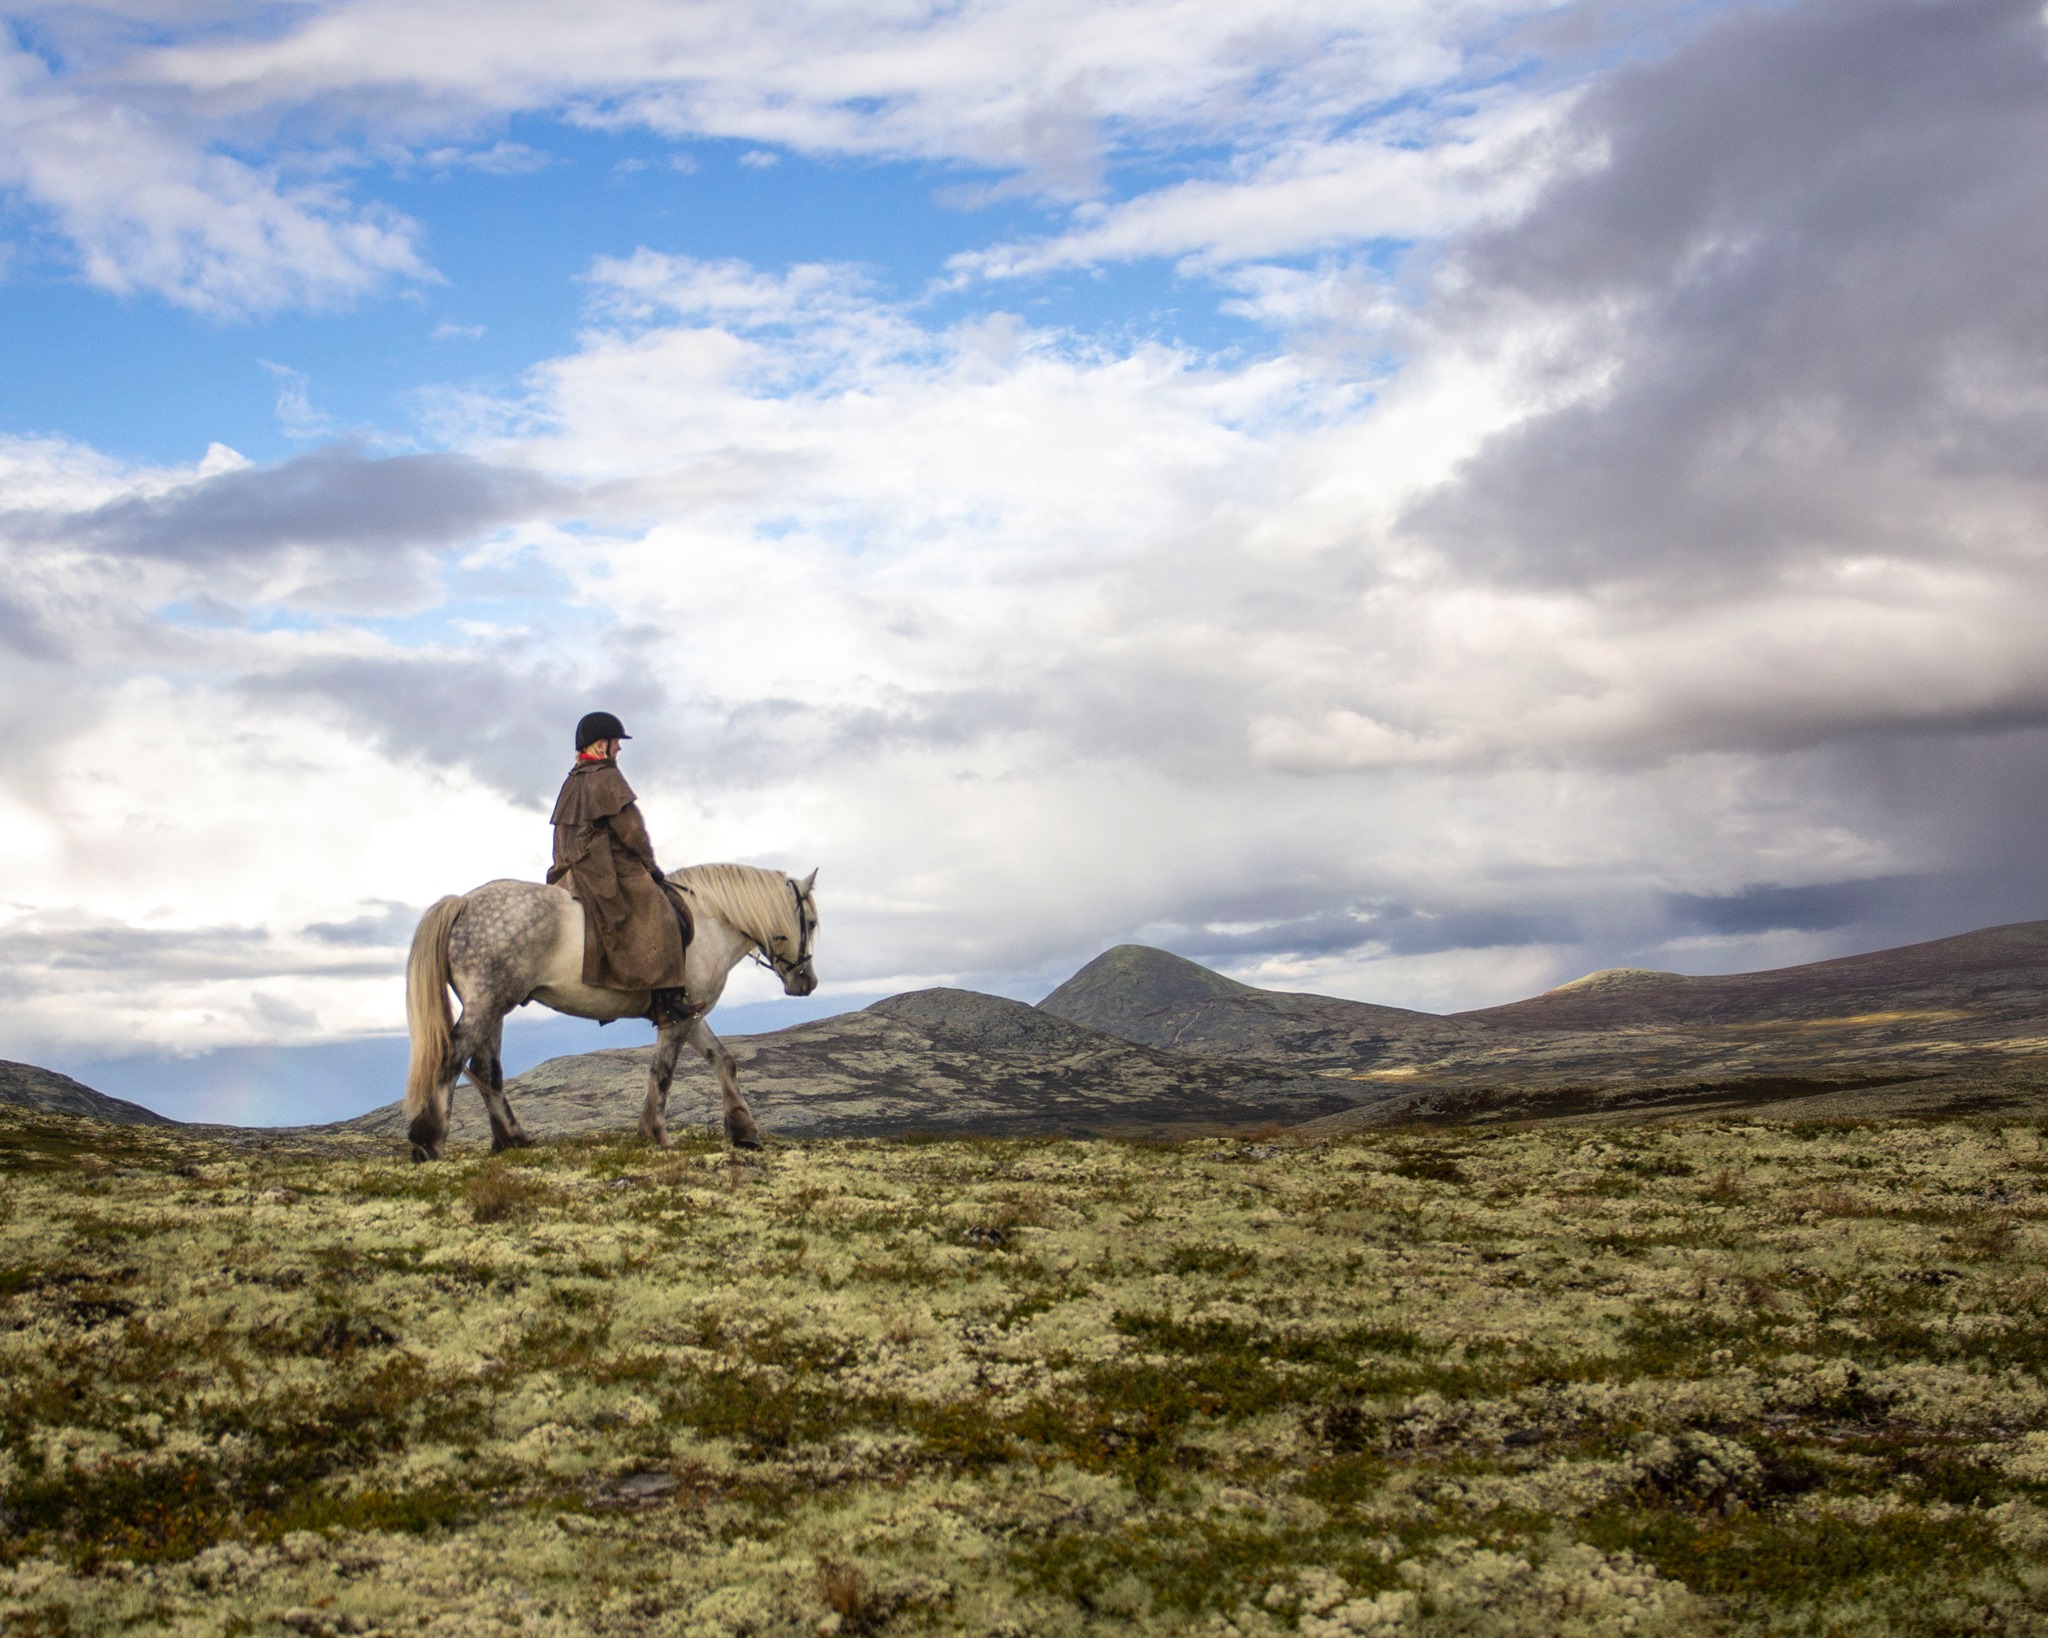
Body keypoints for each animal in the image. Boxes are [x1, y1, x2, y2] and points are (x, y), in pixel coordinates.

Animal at [403, 863, 818, 1163]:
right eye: (811, 923)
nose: (808, 981)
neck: (710, 922)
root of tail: (464, 902)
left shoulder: (691, 1014)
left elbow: (723, 1061)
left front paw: (744, 1130)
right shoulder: (680, 1018)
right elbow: (663, 1071)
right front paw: (655, 1133)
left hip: (494, 1008)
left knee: (487, 1069)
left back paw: (513, 1138)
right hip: (487, 1004)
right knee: (452, 1058)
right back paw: (429, 1141)